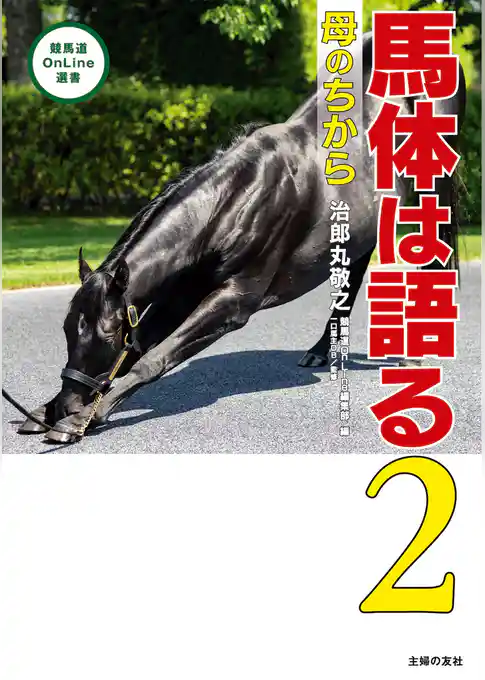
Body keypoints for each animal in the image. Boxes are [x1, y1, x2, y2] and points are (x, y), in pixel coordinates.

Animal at [18, 32, 466, 444]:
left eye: (107, 334)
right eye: (67, 328)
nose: (70, 402)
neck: (234, 201)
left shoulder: (235, 300)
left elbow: (153, 359)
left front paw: (81, 418)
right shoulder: (179, 295)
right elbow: (142, 346)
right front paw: (48, 410)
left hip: (432, 187)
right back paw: (321, 349)